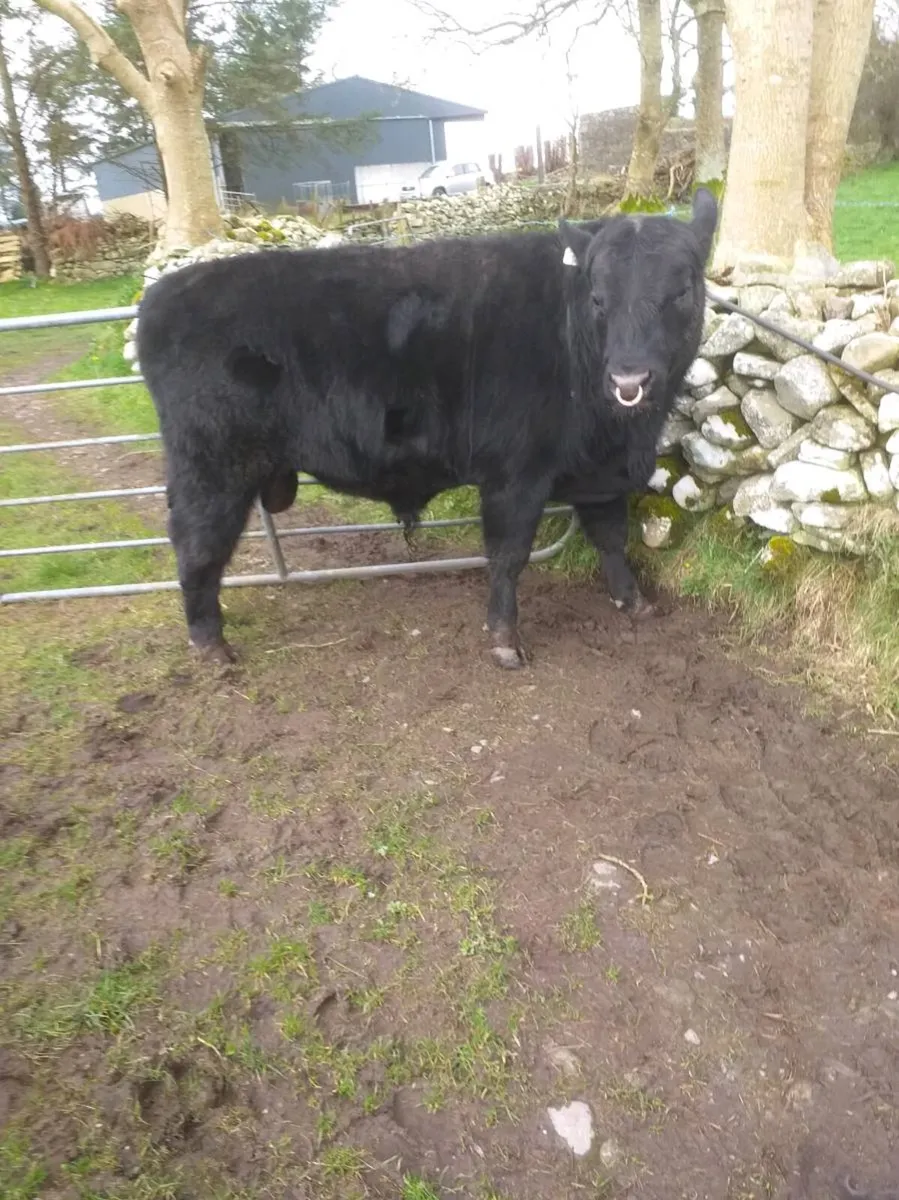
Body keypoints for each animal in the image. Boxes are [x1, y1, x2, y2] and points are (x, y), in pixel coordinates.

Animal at [136, 188, 718, 668]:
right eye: (599, 298)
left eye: (683, 291)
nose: (629, 378)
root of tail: (166, 293)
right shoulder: (513, 476)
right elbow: (508, 557)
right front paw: (504, 641)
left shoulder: (601, 474)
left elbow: (612, 539)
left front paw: (633, 602)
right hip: (211, 469)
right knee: (197, 548)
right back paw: (211, 645)